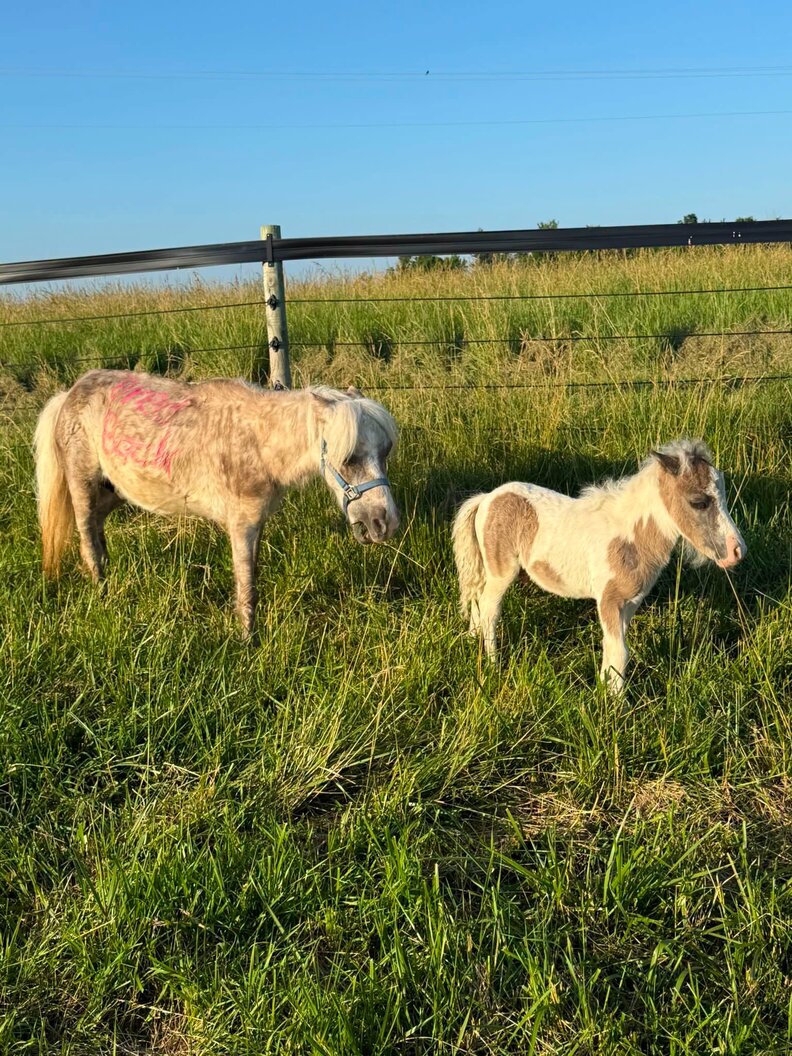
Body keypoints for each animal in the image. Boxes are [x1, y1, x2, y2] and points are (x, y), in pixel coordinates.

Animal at [34, 370, 399, 635]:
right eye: (348, 458)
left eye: (385, 452)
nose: (384, 523)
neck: (258, 443)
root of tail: (69, 394)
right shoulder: (241, 524)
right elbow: (247, 584)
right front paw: (249, 641)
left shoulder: (256, 523)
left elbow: (252, 575)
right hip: (83, 487)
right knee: (87, 539)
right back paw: (102, 593)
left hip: (114, 491)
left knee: (97, 529)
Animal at [452, 439, 746, 691]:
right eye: (699, 502)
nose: (737, 551)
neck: (629, 537)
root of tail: (487, 498)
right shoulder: (608, 599)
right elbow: (620, 652)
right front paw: (614, 705)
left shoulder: (631, 602)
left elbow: (613, 648)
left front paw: (606, 689)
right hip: (501, 572)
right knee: (489, 610)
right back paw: (492, 665)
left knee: (477, 601)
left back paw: (472, 640)